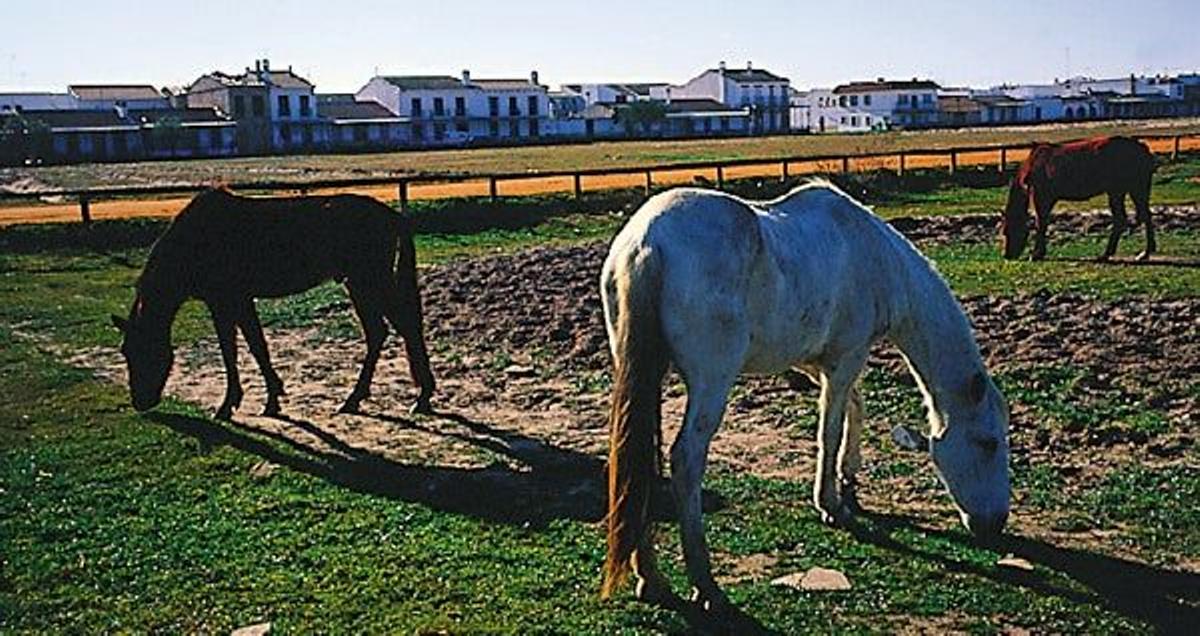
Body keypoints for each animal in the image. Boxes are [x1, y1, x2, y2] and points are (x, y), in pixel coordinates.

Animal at [112, 186, 436, 417]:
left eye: (146, 351)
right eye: (125, 352)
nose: (140, 401)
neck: (196, 240)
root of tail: (391, 216)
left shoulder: (226, 300)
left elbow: (242, 349)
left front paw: (235, 405)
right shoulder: (235, 301)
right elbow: (248, 347)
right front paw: (267, 398)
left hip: (369, 281)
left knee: (404, 327)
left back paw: (420, 398)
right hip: (358, 285)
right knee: (380, 333)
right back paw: (357, 399)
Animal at [597, 181, 1003, 614]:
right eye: (988, 443)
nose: (994, 525)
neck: (874, 254)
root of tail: (646, 244)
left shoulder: (818, 361)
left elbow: (853, 408)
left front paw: (849, 477)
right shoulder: (846, 356)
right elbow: (830, 429)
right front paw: (831, 503)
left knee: (640, 457)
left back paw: (651, 578)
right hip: (710, 384)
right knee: (685, 461)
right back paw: (705, 585)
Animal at [998, 135, 1156, 260]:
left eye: (1007, 231)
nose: (1007, 255)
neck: (1032, 166)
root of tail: (1142, 149)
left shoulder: (1041, 196)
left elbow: (1040, 223)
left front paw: (1036, 254)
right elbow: (1043, 222)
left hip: (1125, 191)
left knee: (1129, 218)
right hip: (1126, 191)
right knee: (1138, 216)